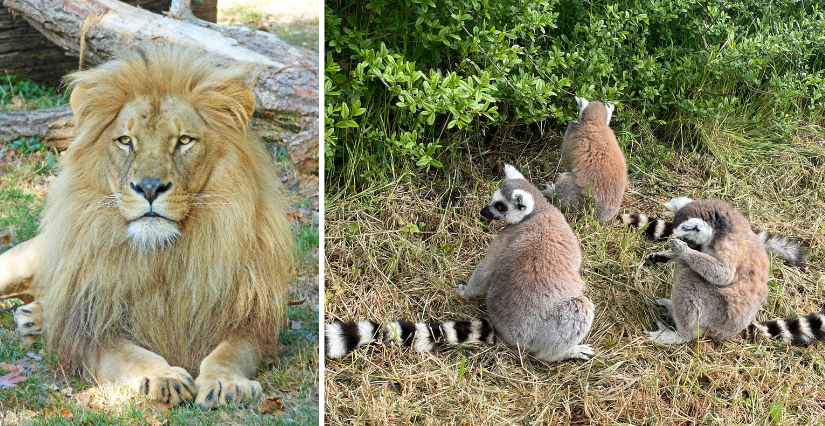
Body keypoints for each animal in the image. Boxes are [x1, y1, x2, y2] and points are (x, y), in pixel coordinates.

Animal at [0, 45, 292, 410]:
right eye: (126, 140)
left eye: (184, 140)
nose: (150, 188)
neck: (162, 255)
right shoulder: (95, 331)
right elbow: (129, 355)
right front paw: (162, 376)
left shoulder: (249, 322)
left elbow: (229, 353)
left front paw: (225, 381)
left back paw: (34, 319)